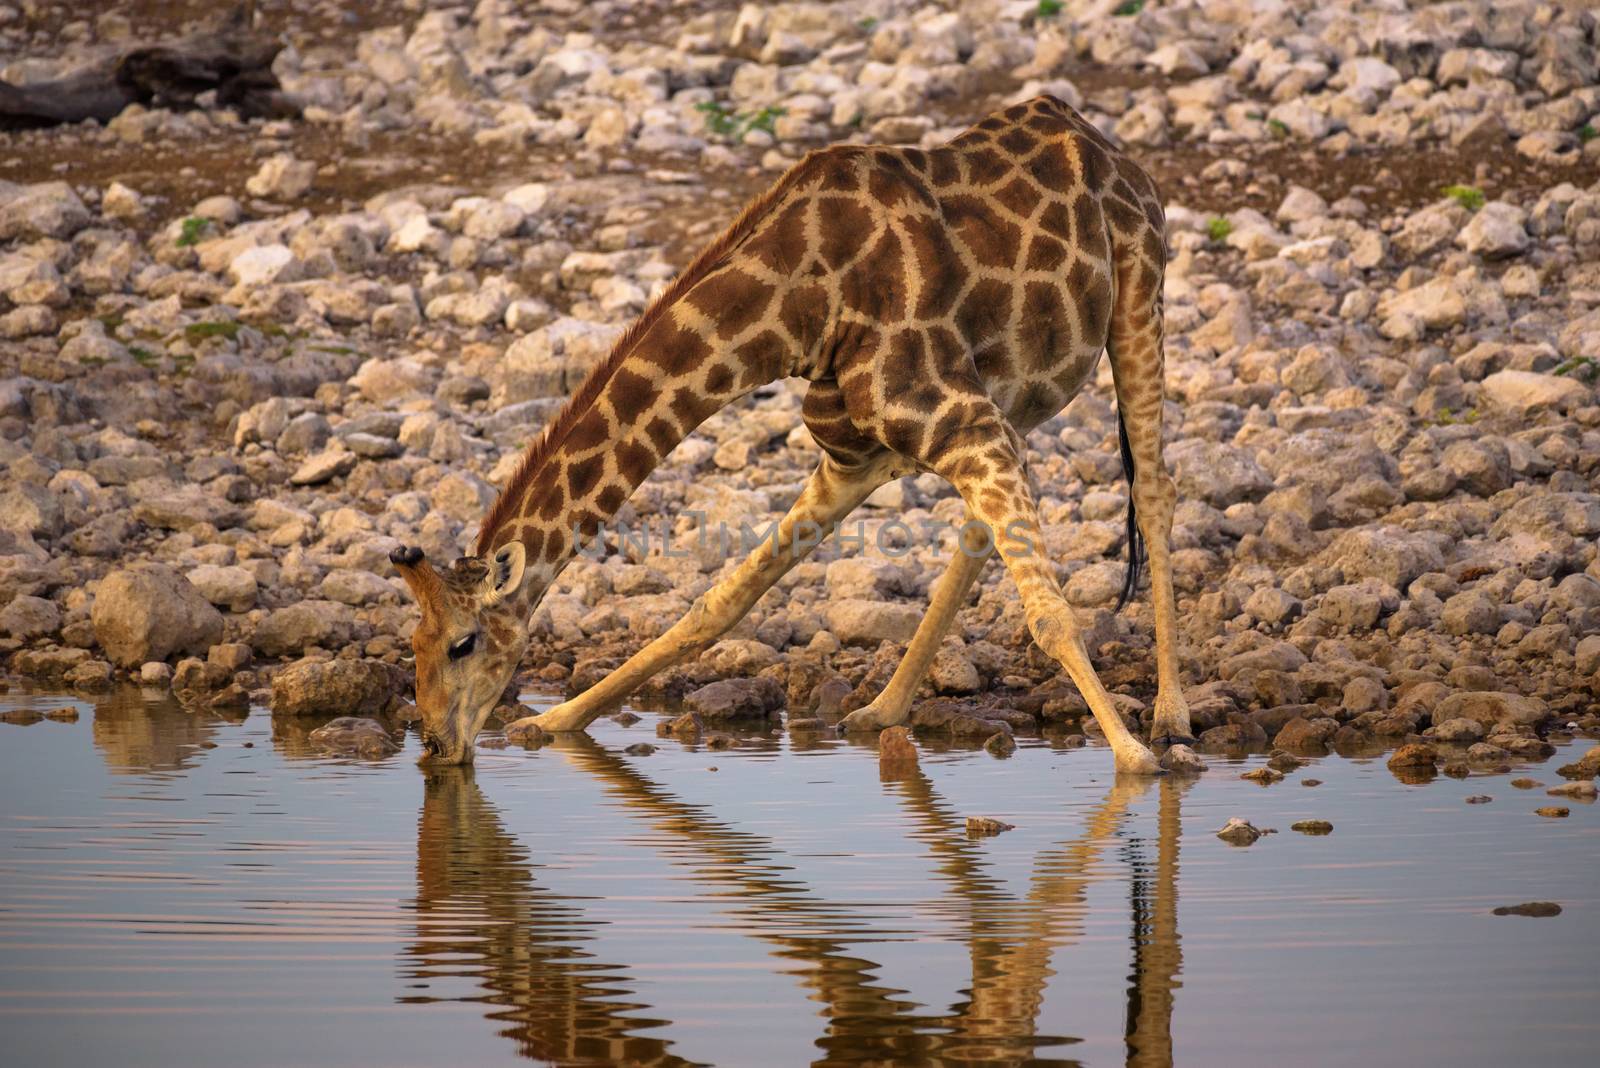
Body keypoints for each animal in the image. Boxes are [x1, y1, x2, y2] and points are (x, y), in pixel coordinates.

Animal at [387, 93, 1190, 767]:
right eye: (412, 643)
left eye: (462, 644)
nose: (436, 747)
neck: (799, 307)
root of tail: (1103, 142)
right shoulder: (862, 454)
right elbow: (718, 604)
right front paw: (553, 722)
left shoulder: (959, 422)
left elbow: (1051, 615)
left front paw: (1133, 763)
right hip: (1012, 397)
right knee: (984, 531)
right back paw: (882, 709)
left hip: (1138, 295)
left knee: (1154, 490)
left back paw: (1171, 722)